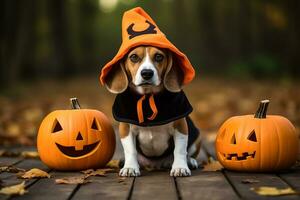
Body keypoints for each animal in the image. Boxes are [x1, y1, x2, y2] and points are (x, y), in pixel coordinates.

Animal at [104, 45, 200, 177]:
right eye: (134, 57)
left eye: (159, 56)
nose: (147, 73)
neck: (148, 95)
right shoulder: (126, 128)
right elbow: (130, 150)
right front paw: (130, 167)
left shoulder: (181, 126)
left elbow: (180, 150)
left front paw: (180, 167)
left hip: (196, 138)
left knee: (187, 152)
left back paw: (190, 161)